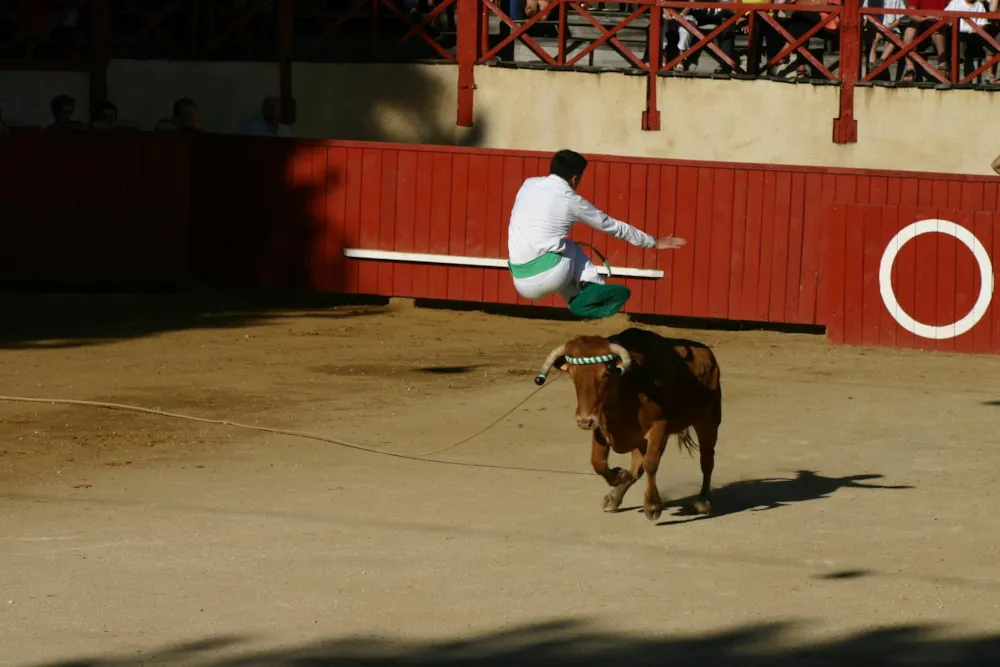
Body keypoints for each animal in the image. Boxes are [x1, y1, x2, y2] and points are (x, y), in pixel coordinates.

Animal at [536, 328, 724, 520]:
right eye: (573, 375)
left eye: (605, 373)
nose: (584, 420)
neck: (626, 388)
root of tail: (708, 355)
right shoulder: (602, 427)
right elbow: (598, 462)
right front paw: (619, 476)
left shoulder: (659, 426)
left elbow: (650, 464)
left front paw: (652, 505)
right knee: (636, 468)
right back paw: (614, 496)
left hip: (708, 420)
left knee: (706, 460)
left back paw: (702, 501)